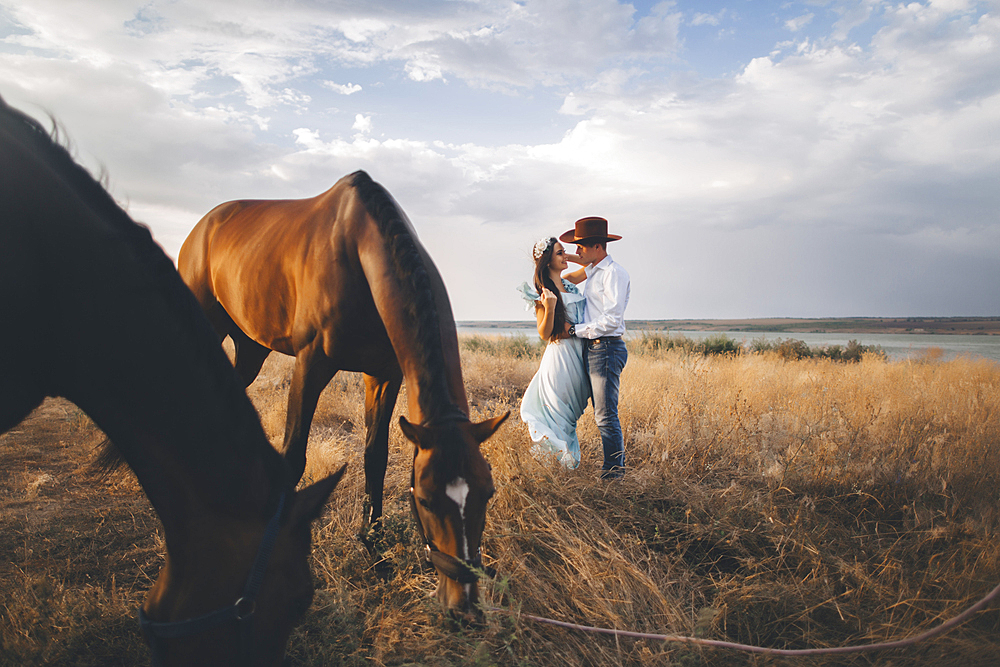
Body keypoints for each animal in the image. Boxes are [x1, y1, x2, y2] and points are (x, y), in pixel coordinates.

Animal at [178, 171, 508, 616]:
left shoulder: (383, 376)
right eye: (425, 500)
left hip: (251, 348)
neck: (357, 252)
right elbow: (294, 457)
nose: (464, 607)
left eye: (488, 492)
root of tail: (202, 227)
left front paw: (376, 550)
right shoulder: (310, 366)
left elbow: (375, 456)